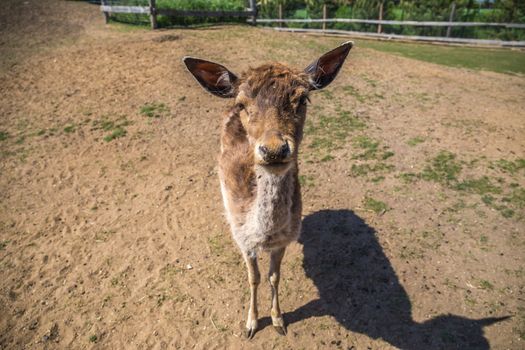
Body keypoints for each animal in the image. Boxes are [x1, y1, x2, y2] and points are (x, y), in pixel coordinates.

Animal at [184, 41, 352, 340]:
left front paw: (278, 320)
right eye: (242, 104)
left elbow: (274, 276)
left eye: (303, 99)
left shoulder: (284, 240)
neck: (263, 236)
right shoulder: (243, 239)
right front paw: (251, 324)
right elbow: (254, 277)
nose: (274, 150)